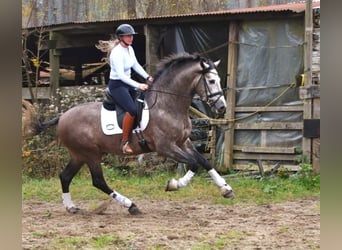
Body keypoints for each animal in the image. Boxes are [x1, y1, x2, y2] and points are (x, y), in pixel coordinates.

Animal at [33, 52, 234, 215]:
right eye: (211, 81)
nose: (222, 107)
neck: (168, 105)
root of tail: (62, 116)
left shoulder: (184, 142)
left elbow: (204, 162)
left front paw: (226, 189)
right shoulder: (165, 147)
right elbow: (193, 163)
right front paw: (173, 184)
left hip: (79, 154)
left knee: (65, 177)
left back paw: (71, 207)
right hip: (90, 153)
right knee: (98, 181)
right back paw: (131, 205)